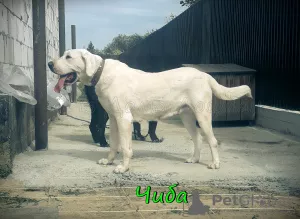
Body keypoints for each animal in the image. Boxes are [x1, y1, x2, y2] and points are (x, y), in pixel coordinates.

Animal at [48, 48, 252, 174]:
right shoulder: (113, 119)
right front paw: (109, 160)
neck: (101, 73)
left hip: (202, 116)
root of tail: (204, 74)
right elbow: (114, 144)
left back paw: (215, 163)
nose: (50, 64)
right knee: (198, 139)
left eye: (68, 57)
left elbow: (125, 147)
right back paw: (194, 159)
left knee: (212, 141)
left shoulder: (124, 118)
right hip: (187, 117)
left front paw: (123, 167)